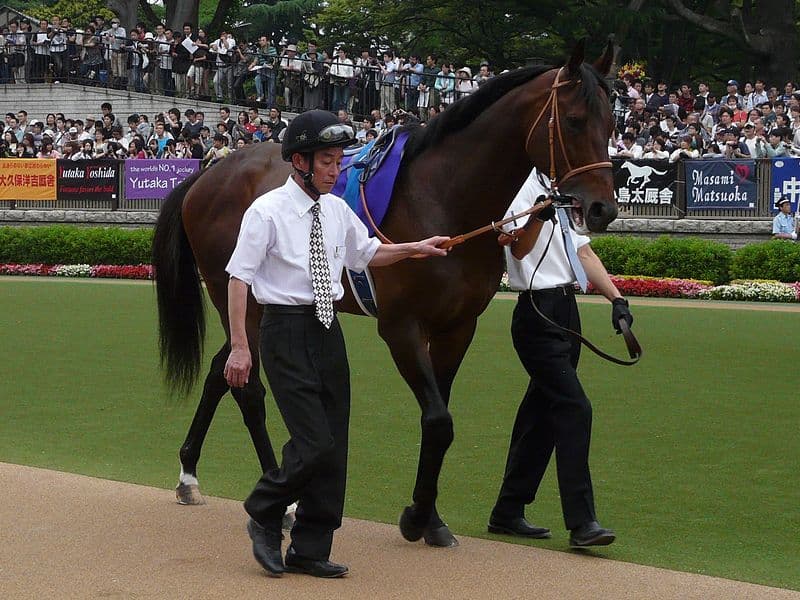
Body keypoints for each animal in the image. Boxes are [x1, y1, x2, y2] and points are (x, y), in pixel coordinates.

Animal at [152, 39, 618, 548]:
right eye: (574, 120)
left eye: (612, 123)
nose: (603, 208)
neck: (443, 196)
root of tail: (207, 174)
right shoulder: (401, 327)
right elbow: (437, 420)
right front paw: (417, 517)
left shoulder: (457, 328)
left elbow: (440, 417)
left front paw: (430, 518)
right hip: (239, 299)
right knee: (248, 387)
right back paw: (279, 499)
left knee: (223, 372)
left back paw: (190, 475)